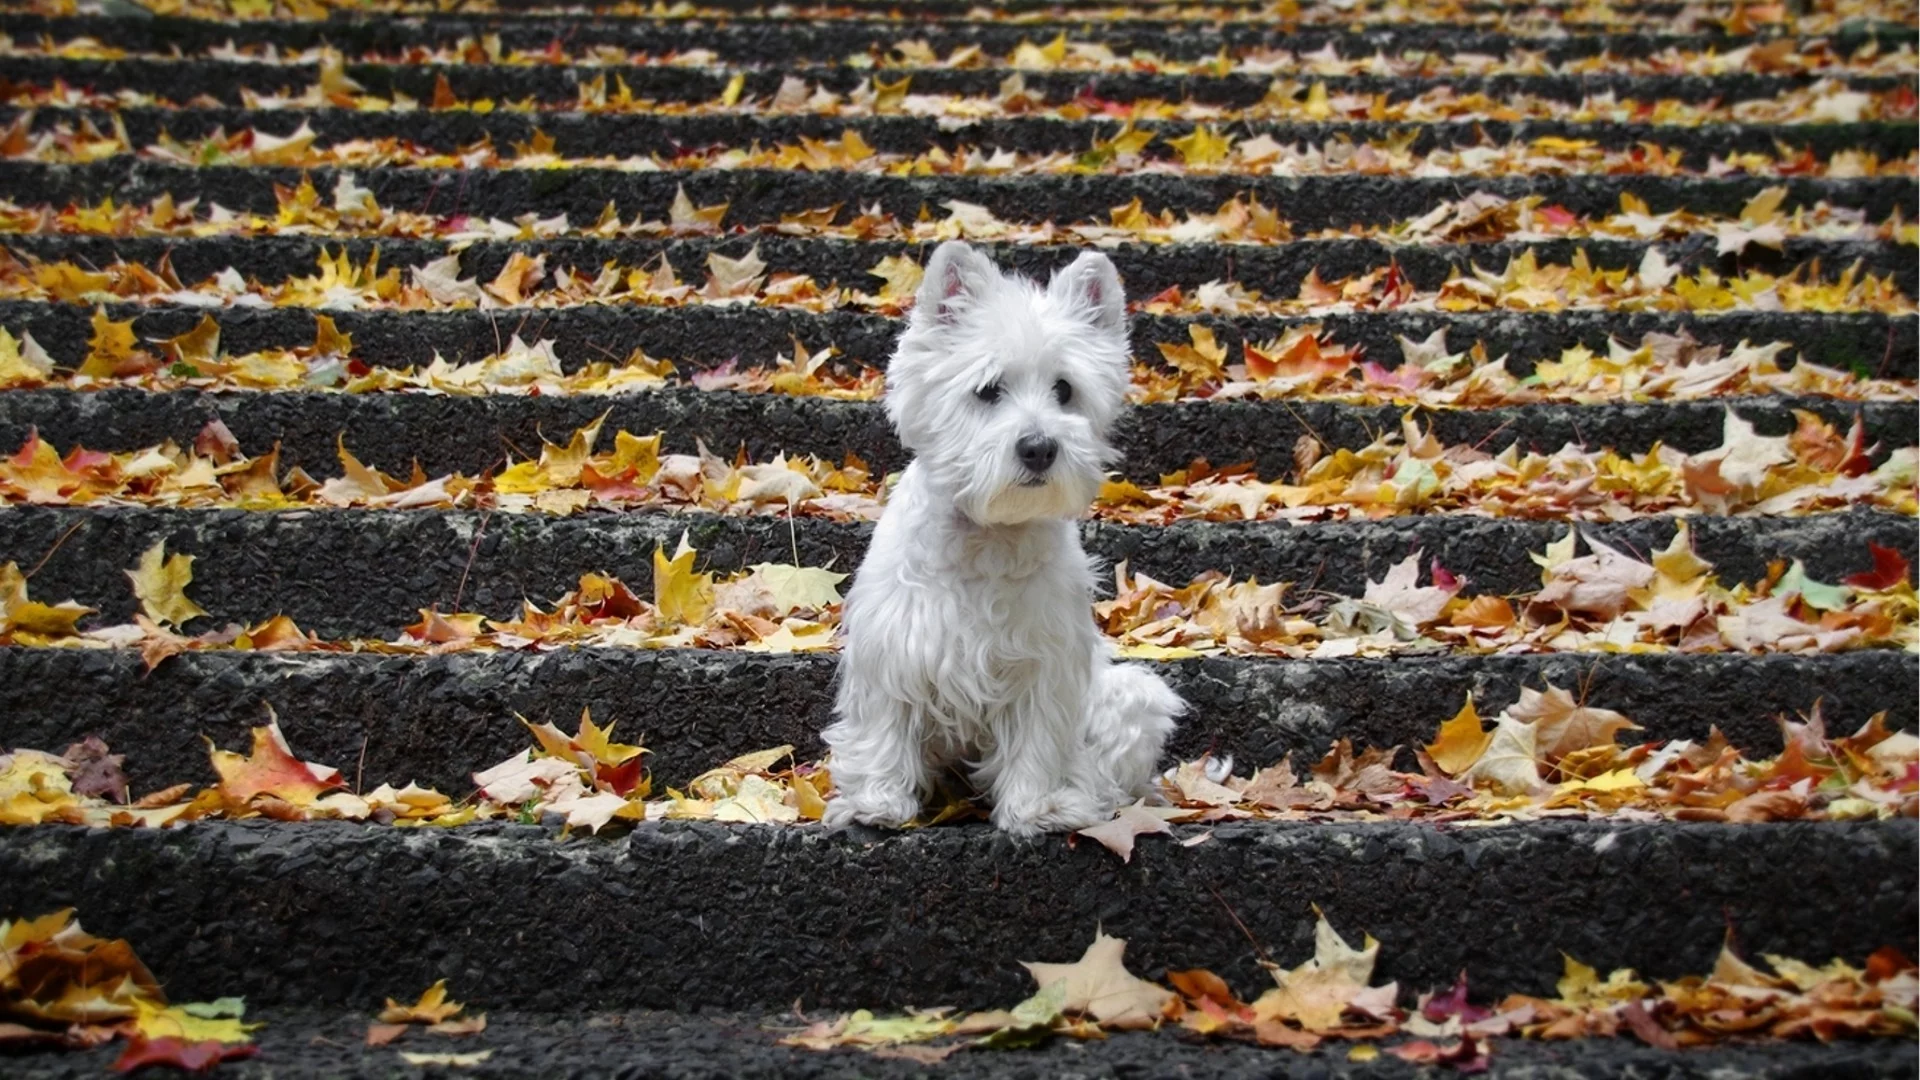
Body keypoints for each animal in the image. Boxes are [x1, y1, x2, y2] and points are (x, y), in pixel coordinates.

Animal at [825, 242, 1182, 834]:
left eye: (1064, 389)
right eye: (988, 390)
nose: (1039, 448)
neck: (989, 534)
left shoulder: (1045, 664)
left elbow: (1038, 738)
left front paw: (1033, 808)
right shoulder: (894, 647)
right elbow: (885, 725)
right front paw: (877, 802)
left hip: (1132, 694)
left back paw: (1082, 799)